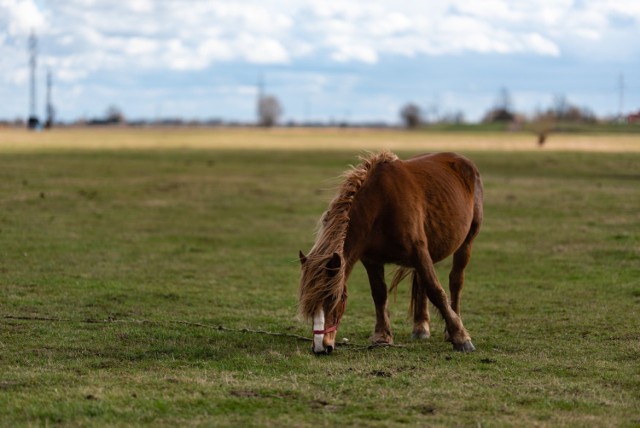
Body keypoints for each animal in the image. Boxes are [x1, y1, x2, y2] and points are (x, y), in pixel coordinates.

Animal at [298, 150, 482, 354]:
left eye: (333, 299)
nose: (321, 347)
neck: (380, 205)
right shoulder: (371, 260)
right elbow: (379, 294)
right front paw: (382, 336)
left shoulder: (418, 252)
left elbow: (437, 292)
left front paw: (461, 338)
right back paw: (421, 327)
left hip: (467, 241)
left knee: (455, 281)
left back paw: (451, 329)